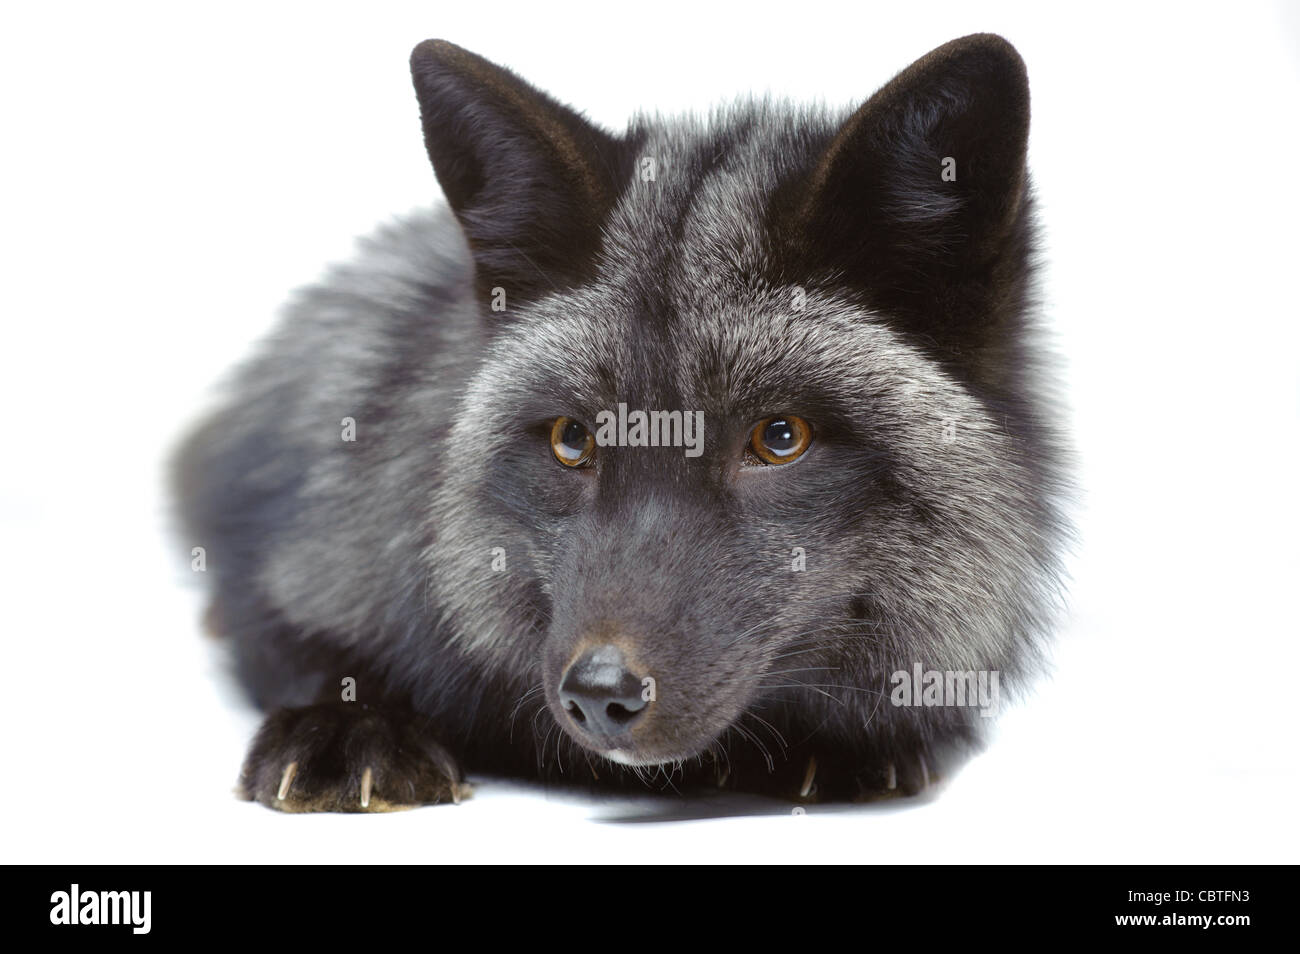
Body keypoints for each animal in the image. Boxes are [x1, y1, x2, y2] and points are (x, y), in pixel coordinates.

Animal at [173, 33, 1071, 812]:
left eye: (780, 438)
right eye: (573, 440)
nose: (601, 693)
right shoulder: (300, 553)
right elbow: (295, 640)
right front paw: (351, 724)